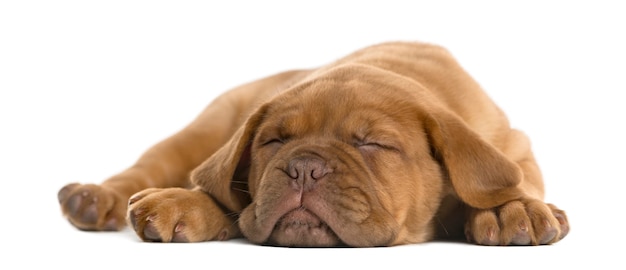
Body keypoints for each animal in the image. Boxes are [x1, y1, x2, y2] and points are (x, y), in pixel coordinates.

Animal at [57, 41, 564, 247]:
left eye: (372, 144)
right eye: (274, 141)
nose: (303, 167)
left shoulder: (514, 147)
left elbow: (516, 182)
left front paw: (511, 208)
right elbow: (228, 198)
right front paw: (185, 203)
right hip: (206, 125)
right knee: (152, 163)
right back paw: (93, 198)